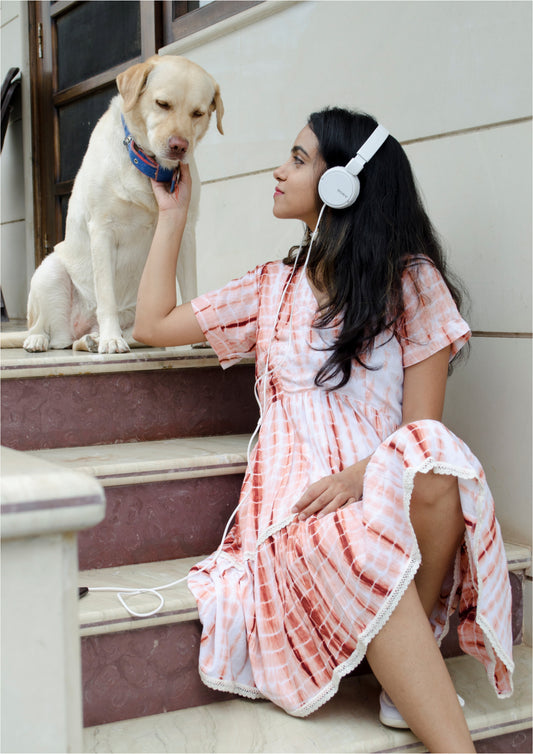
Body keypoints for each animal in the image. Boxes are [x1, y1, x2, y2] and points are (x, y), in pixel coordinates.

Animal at [1, 54, 221, 354]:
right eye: (162, 104)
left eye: (198, 113)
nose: (179, 146)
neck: (147, 167)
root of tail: (76, 329)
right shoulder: (102, 230)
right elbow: (106, 297)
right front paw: (111, 339)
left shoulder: (185, 232)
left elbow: (189, 286)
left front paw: (198, 338)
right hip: (49, 269)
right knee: (40, 327)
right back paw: (42, 339)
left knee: (92, 341)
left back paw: (91, 339)